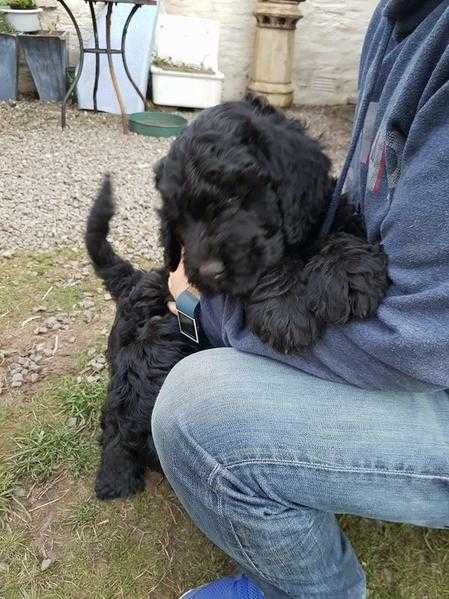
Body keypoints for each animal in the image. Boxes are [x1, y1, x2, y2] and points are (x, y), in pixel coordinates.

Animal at [156, 95, 386, 356]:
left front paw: (346, 273)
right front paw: (285, 310)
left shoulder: (323, 206)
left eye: (232, 196)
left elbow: (342, 222)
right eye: (178, 217)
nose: (209, 272)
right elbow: (269, 264)